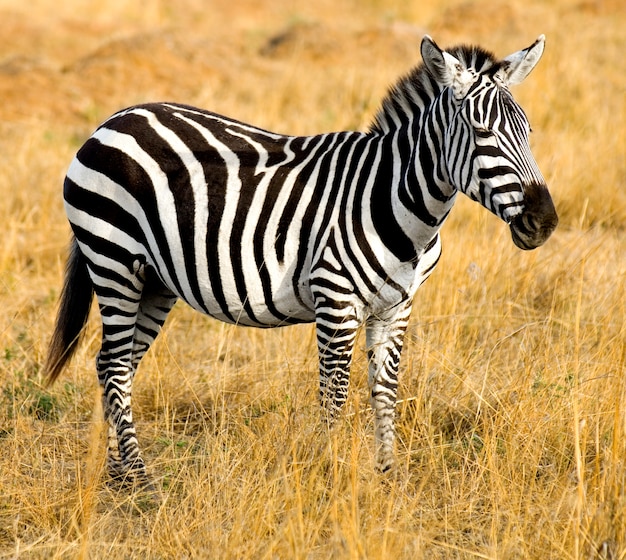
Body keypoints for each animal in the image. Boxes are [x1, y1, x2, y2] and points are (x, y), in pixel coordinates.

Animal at [46, 35, 560, 486]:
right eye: (481, 133)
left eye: (529, 132)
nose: (543, 221)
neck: (398, 201)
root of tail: (114, 119)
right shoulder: (336, 301)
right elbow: (334, 396)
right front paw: (328, 478)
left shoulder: (397, 307)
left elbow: (385, 391)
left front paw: (389, 477)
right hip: (113, 260)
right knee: (115, 366)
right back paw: (141, 479)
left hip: (154, 280)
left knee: (114, 364)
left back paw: (117, 474)